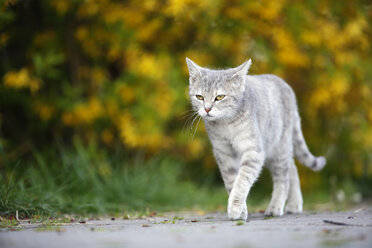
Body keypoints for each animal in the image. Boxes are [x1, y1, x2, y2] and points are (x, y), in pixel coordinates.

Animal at [186, 58, 326, 221]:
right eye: (199, 97)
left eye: (219, 97)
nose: (207, 109)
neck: (227, 125)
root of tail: (286, 87)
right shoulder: (224, 153)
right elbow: (231, 181)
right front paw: (241, 211)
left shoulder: (254, 150)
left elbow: (242, 181)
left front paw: (235, 207)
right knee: (292, 168)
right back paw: (294, 204)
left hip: (278, 147)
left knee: (283, 178)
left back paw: (276, 207)